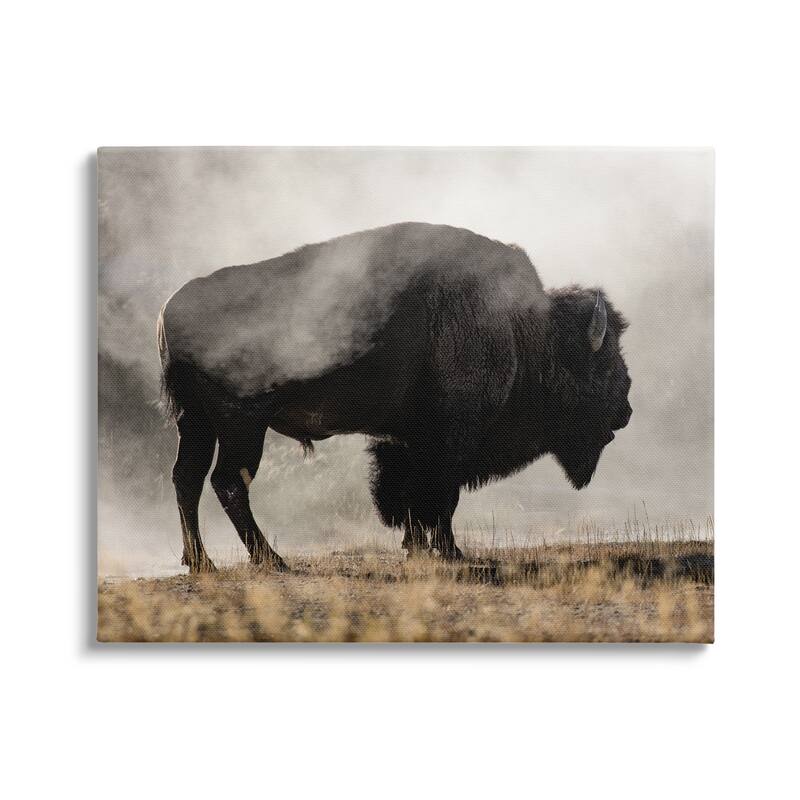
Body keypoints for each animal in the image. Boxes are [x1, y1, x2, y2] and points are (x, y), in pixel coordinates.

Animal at [158, 222, 632, 572]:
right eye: (605, 360)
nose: (625, 411)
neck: (521, 328)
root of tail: (169, 309)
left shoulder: (408, 440)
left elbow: (412, 496)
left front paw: (417, 546)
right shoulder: (451, 439)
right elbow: (440, 497)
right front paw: (450, 551)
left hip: (196, 422)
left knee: (187, 478)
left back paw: (202, 563)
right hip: (241, 424)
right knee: (227, 481)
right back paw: (272, 560)